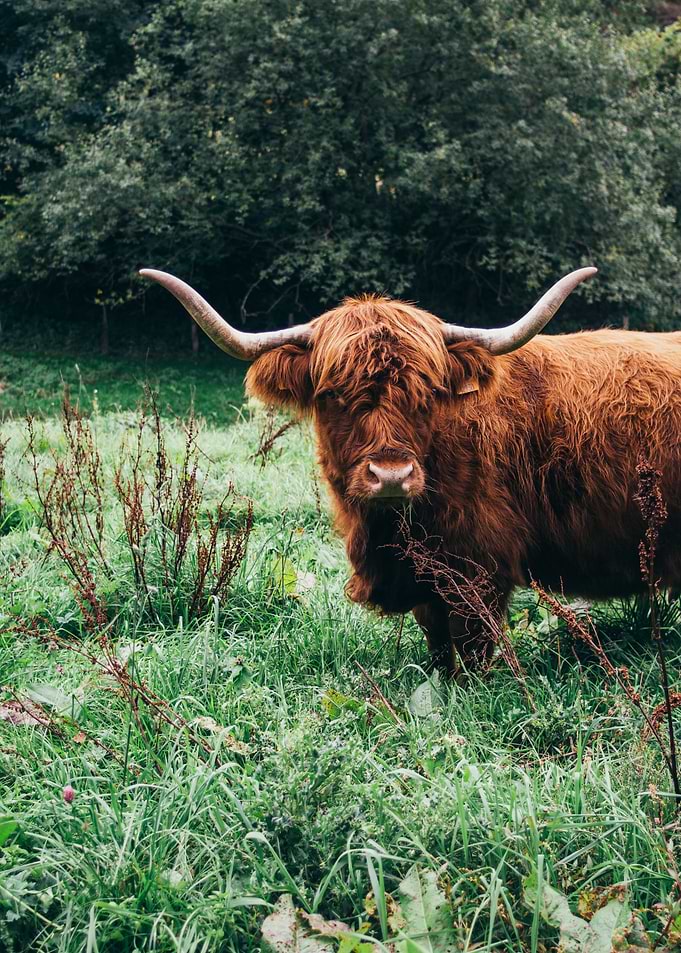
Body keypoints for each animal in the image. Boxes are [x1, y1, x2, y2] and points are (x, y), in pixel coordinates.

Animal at [140, 266, 681, 672]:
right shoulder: (425, 578)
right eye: (332, 394)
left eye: (428, 393)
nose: (391, 476)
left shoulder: (479, 568)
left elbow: (473, 647)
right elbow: (438, 642)